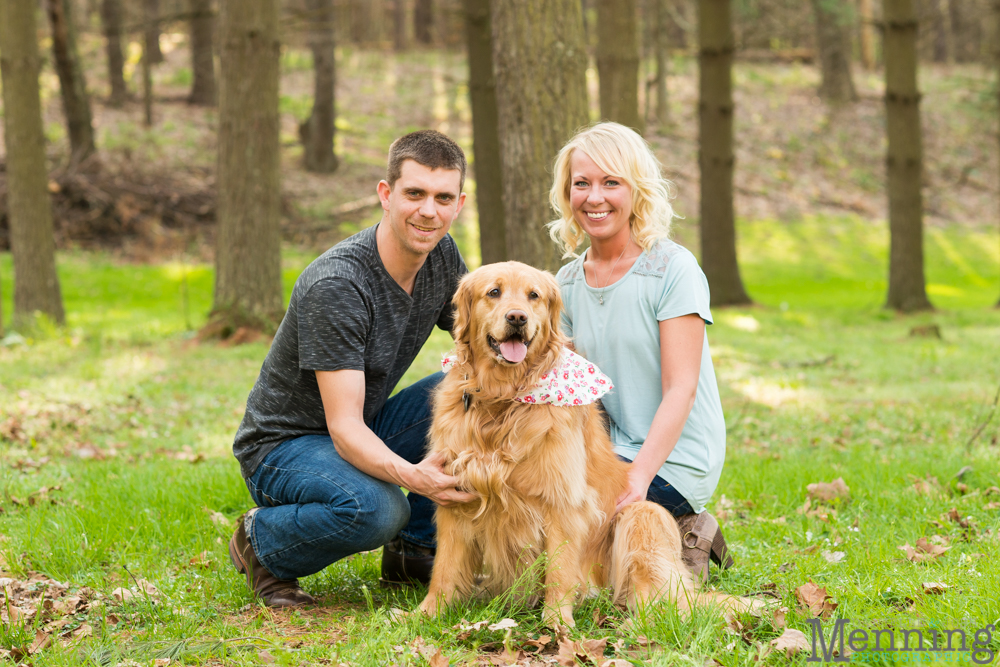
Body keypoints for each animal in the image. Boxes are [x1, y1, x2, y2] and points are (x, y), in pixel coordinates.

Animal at [416, 262, 752, 632]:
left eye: (533, 295)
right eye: (494, 292)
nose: (517, 317)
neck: (502, 399)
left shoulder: (562, 501)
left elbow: (559, 569)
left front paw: (556, 622)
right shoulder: (454, 495)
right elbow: (444, 567)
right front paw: (426, 613)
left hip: (641, 515)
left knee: (660, 604)